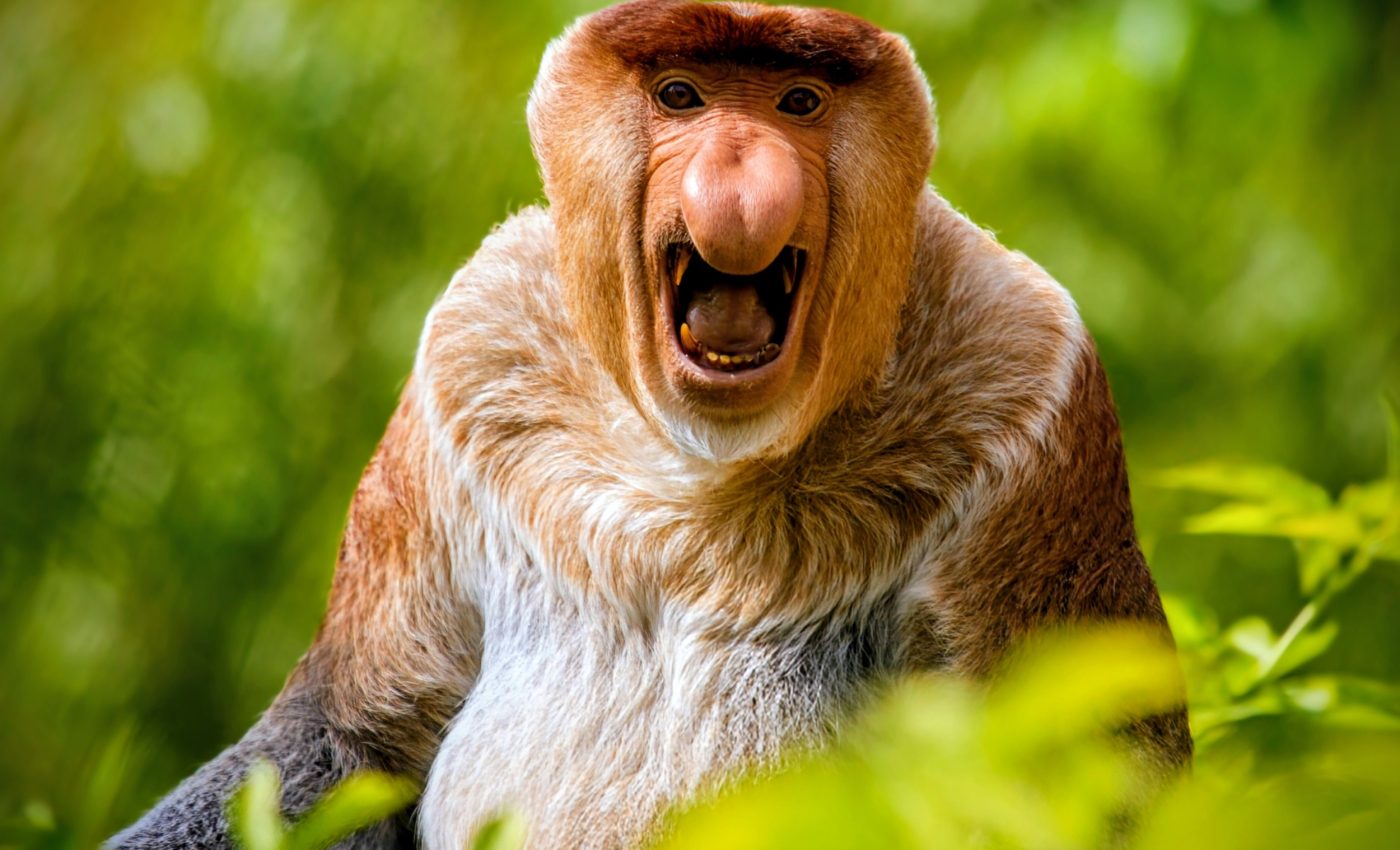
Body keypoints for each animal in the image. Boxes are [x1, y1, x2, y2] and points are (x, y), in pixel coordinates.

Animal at [110, 2, 1191, 848]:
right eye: (682, 96)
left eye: (798, 102)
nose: (738, 171)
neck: (702, 458)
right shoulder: (468, 352)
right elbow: (345, 738)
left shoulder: (1032, 392)